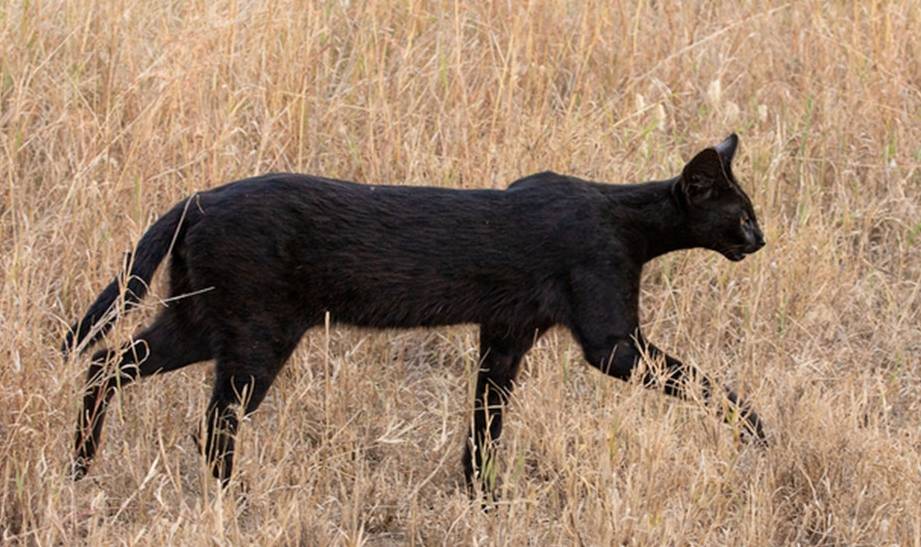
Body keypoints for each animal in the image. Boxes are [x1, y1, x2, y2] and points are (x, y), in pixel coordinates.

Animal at [64, 134, 764, 496]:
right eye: (741, 215)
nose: (761, 240)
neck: (627, 220)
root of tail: (197, 198)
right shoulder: (612, 342)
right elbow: (699, 381)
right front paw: (755, 431)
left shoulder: (506, 334)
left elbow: (486, 419)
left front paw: (482, 496)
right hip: (255, 337)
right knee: (211, 424)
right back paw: (229, 501)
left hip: (202, 323)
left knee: (106, 362)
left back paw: (80, 467)